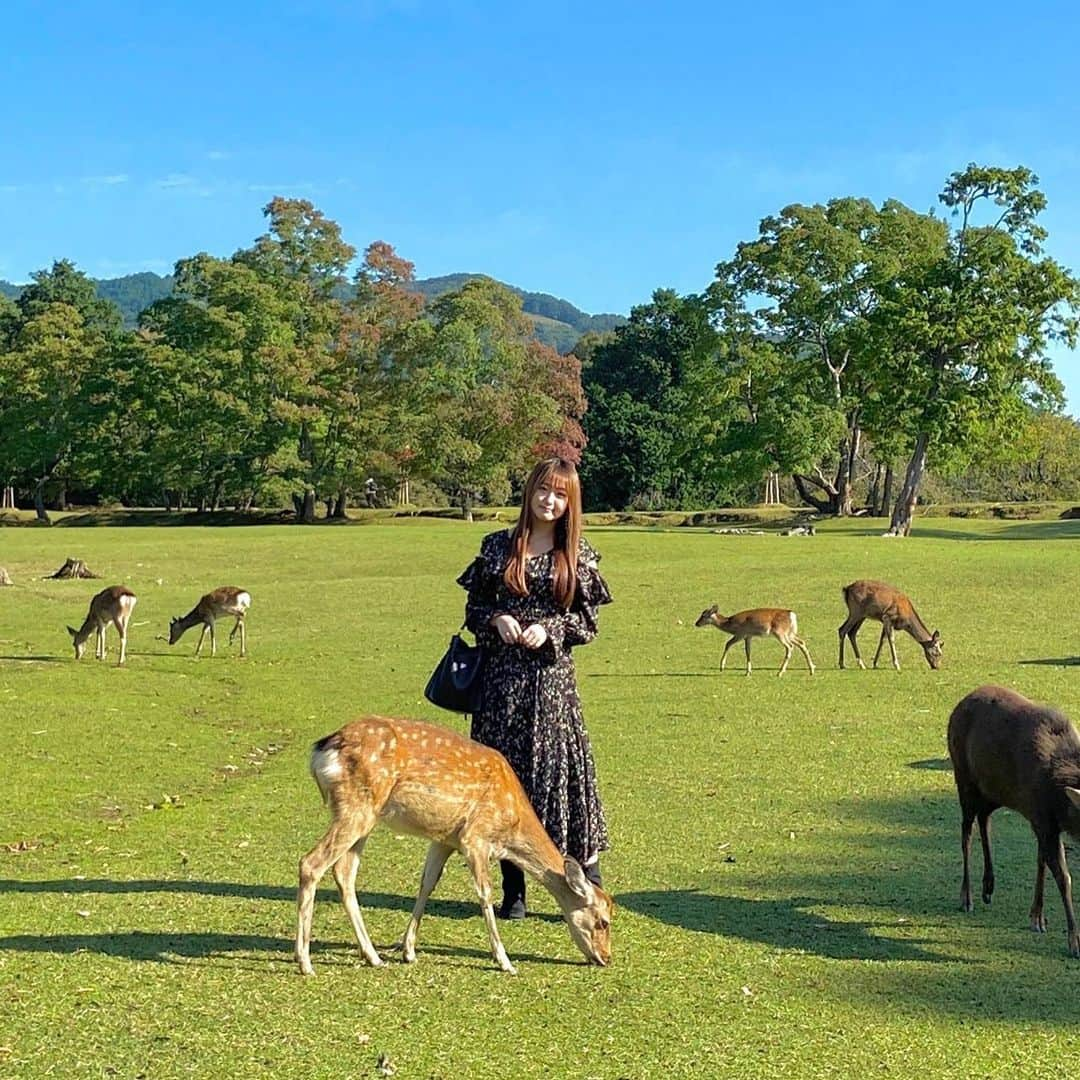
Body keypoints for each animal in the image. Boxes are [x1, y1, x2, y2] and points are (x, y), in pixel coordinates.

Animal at [295, 717, 617, 980]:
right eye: (603, 921)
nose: (606, 958)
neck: (510, 826)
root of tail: (321, 751)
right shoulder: (475, 838)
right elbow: (485, 893)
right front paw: (505, 961)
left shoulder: (444, 839)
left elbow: (427, 883)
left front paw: (408, 950)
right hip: (356, 807)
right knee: (311, 863)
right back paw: (305, 962)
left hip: (365, 816)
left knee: (343, 872)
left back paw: (373, 956)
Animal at [950, 686, 1080, 959]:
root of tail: (957, 707)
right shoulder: (1043, 818)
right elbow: (1063, 876)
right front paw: (1074, 941)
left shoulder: (1042, 821)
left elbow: (1041, 863)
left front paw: (1037, 916)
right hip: (964, 778)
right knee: (966, 832)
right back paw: (967, 896)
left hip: (993, 791)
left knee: (984, 820)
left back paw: (988, 886)